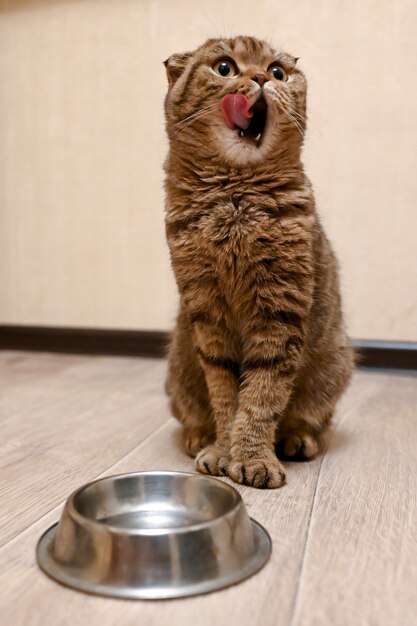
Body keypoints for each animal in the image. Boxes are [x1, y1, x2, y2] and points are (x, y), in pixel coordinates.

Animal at [163, 35, 354, 488]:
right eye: (225, 67)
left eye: (279, 72)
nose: (262, 78)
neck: (235, 199)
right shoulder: (206, 313)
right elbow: (225, 395)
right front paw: (222, 449)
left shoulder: (279, 311)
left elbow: (263, 394)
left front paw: (251, 457)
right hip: (177, 370)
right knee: (190, 412)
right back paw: (199, 436)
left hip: (334, 367)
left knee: (311, 419)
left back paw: (297, 439)